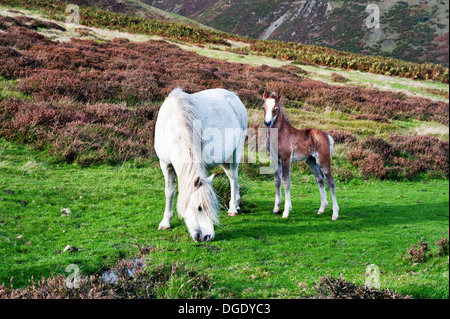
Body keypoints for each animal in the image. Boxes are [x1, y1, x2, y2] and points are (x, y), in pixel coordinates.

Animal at [154, 87, 246, 242]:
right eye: (199, 208)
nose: (208, 236)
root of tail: (233, 96)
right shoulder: (165, 164)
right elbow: (170, 192)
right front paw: (165, 222)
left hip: (236, 152)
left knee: (233, 178)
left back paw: (233, 208)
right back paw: (238, 203)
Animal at [264, 90, 338, 220]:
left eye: (276, 108)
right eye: (264, 107)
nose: (267, 123)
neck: (279, 134)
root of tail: (328, 136)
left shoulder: (286, 158)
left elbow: (286, 182)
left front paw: (286, 211)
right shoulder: (274, 158)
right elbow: (277, 181)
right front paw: (276, 209)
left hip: (323, 160)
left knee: (331, 182)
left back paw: (335, 214)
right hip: (311, 161)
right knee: (320, 179)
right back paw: (321, 209)